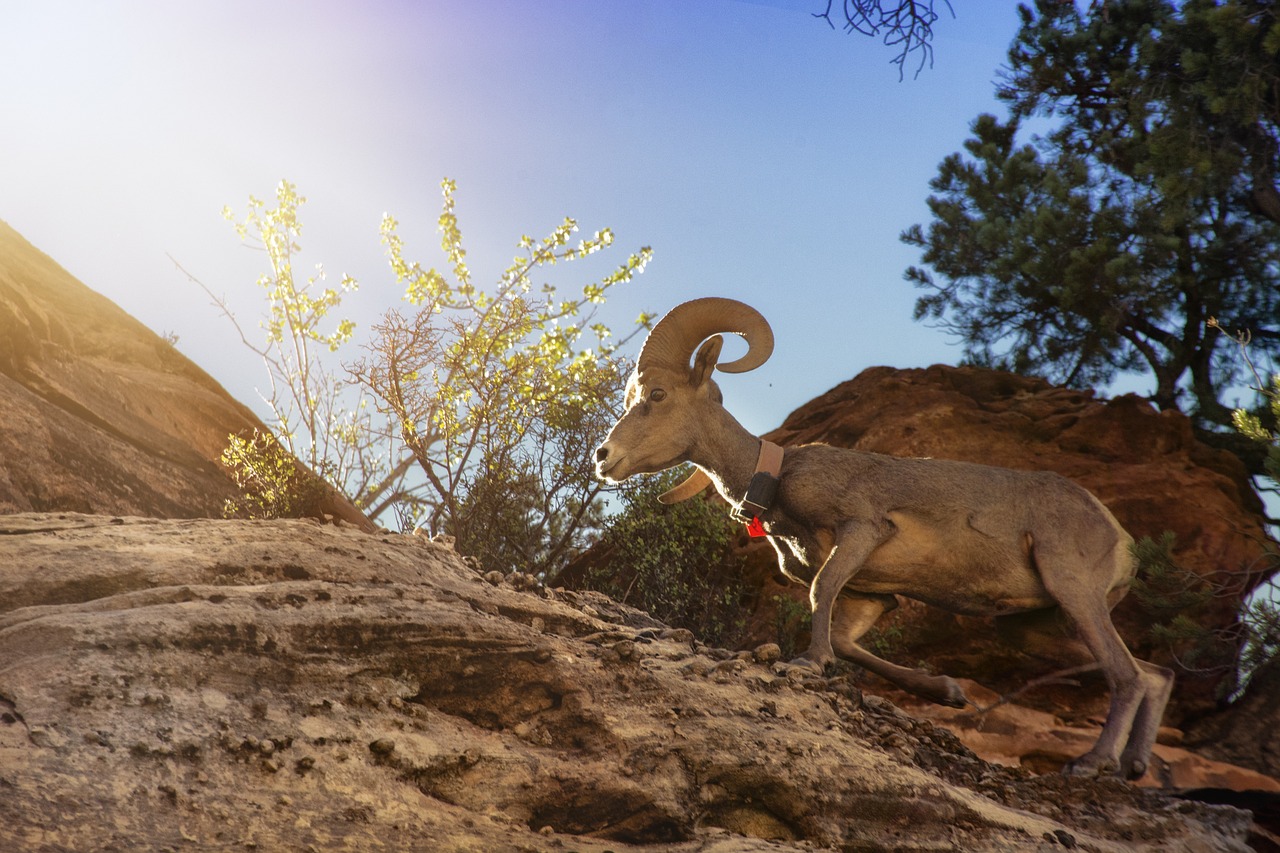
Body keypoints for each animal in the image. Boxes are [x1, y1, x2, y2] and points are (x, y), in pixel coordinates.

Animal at [593, 295, 1172, 773]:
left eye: (658, 394)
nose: (603, 457)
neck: (775, 478)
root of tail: (1120, 538)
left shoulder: (862, 531)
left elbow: (819, 593)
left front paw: (808, 663)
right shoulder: (873, 596)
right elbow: (850, 643)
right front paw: (946, 692)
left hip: (1071, 591)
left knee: (1127, 675)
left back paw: (1092, 763)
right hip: (1037, 628)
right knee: (1153, 675)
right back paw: (1134, 766)